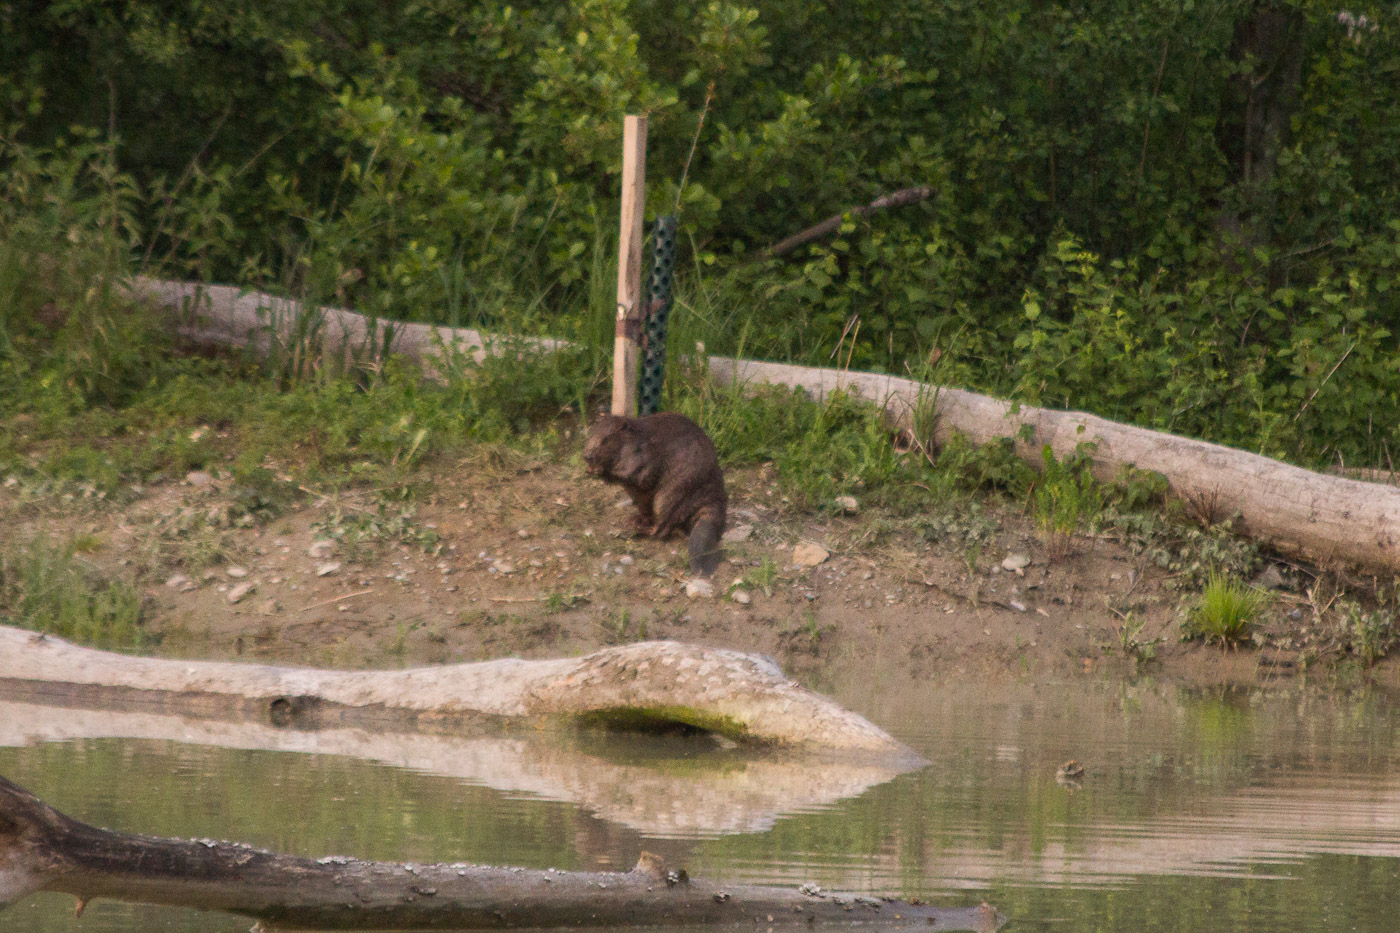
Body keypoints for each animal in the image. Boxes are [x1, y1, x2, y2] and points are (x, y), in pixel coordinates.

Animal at [585, 414, 728, 574]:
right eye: (589, 436)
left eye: (605, 440)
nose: (587, 456)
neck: (636, 440)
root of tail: (712, 506)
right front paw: (590, 470)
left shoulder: (645, 456)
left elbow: (642, 477)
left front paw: (601, 471)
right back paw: (633, 520)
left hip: (671, 495)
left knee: (662, 527)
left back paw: (637, 530)